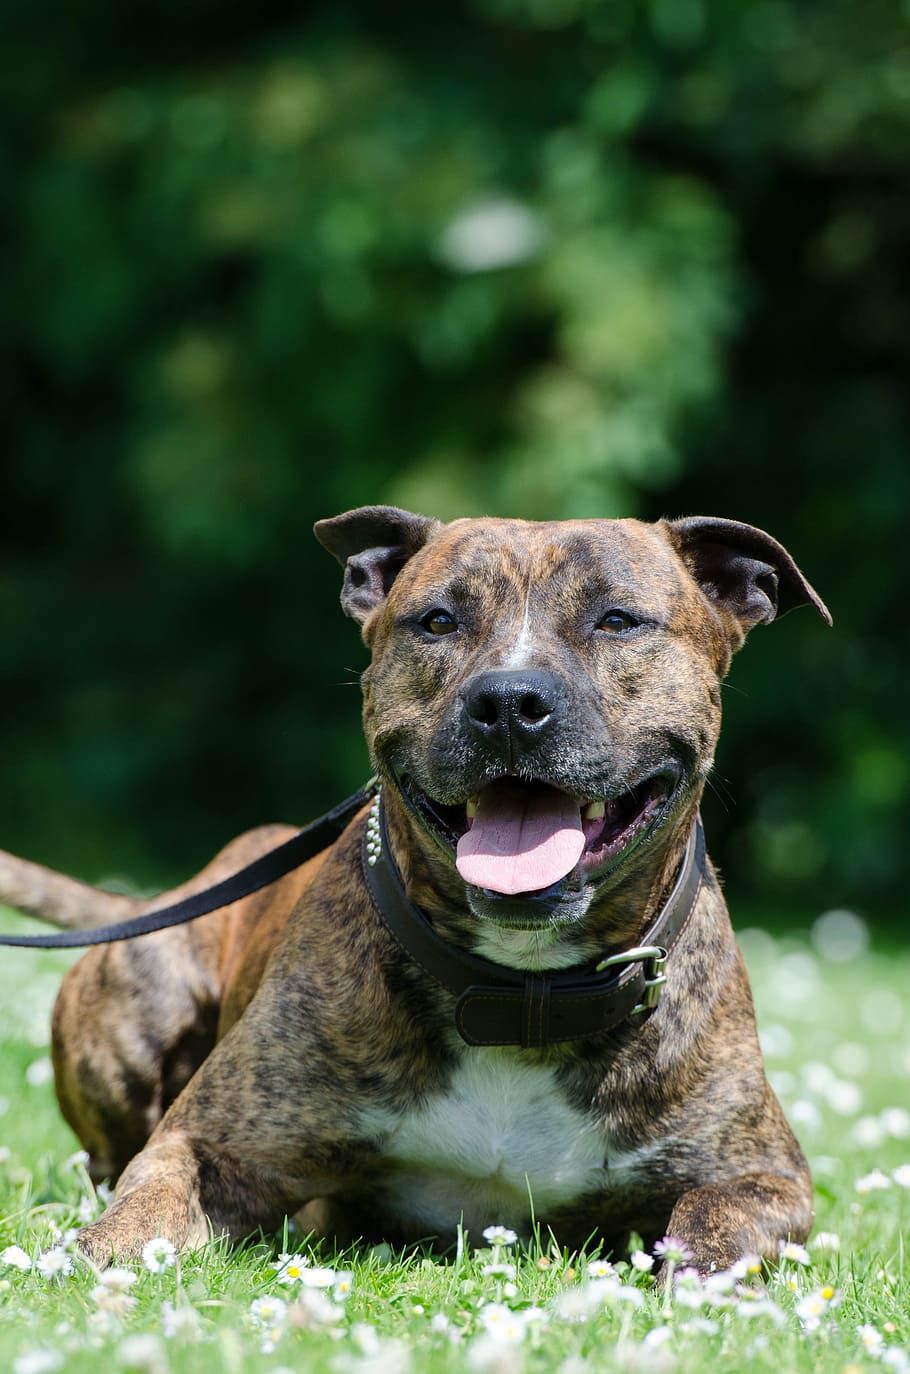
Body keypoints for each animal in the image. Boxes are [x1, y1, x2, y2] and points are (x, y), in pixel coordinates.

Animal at [0, 505, 835, 1264]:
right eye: (437, 621)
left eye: (617, 620)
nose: (509, 701)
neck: (520, 995)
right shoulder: (206, 1146)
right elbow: (137, 1216)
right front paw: (90, 1263)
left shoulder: (764, 1176)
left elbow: (712, 1229)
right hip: (140, 999)